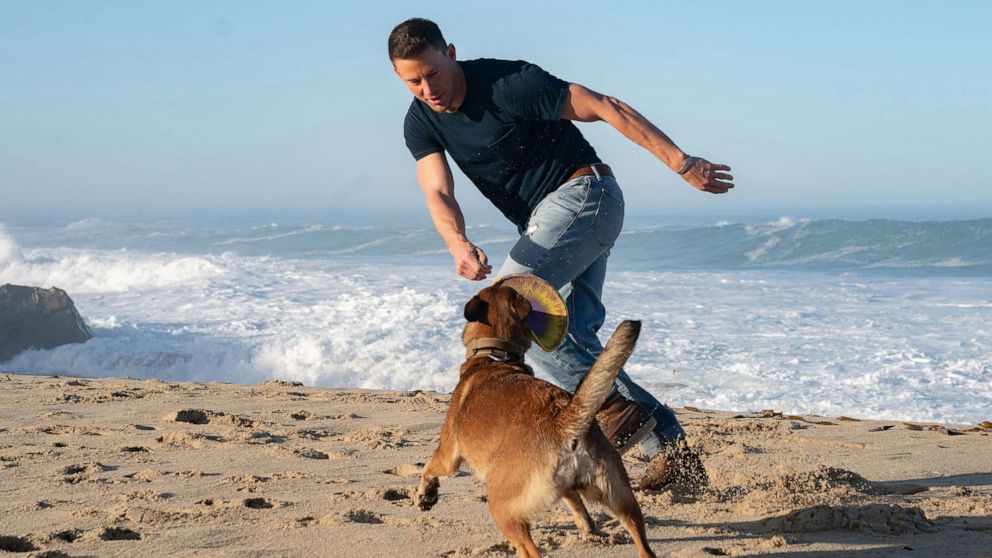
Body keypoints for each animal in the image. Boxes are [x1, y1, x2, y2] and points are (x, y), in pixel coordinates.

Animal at [414, 286, 656, 558]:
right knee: (642, 542)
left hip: (502, 507)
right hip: (622, 498)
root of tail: (563, 421)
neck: (496, 355)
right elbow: (578, 506)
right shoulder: (569, 490)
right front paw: (588, 528)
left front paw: (426, 494)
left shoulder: (448, 456)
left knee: (529, 550)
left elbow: (428, 468)